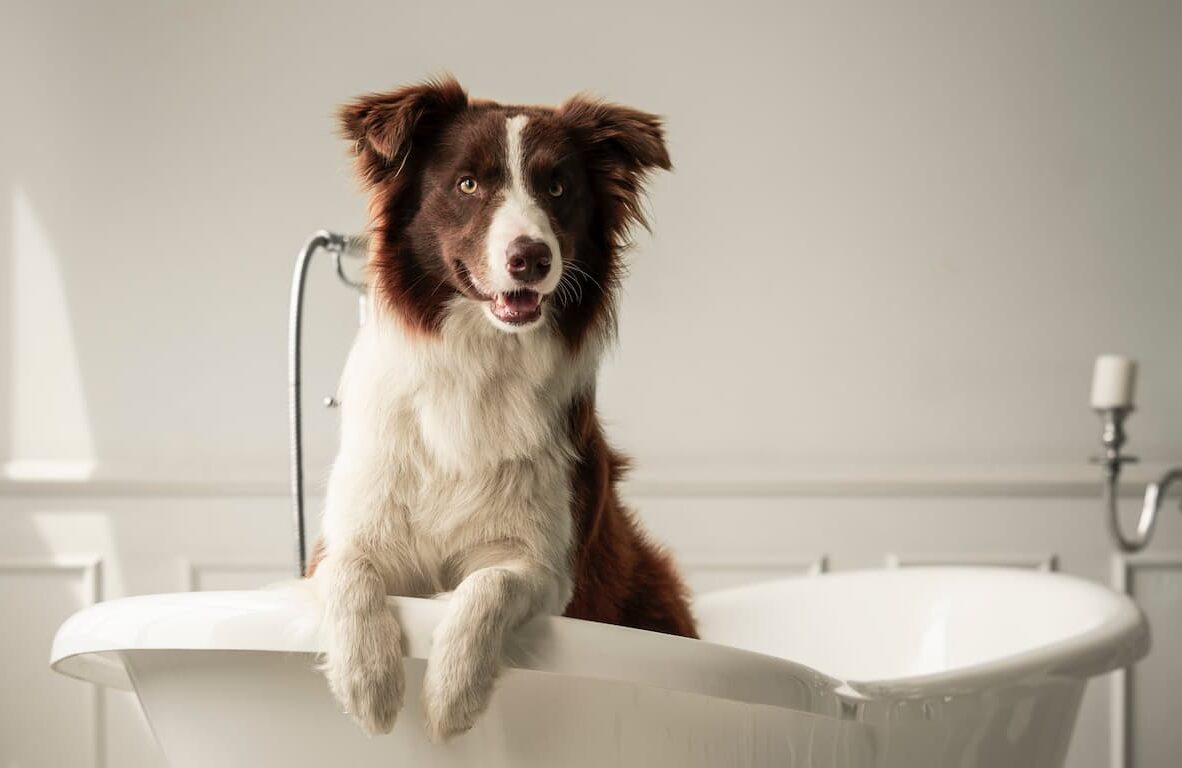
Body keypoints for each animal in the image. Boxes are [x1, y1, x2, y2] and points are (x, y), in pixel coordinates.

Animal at [304, 74, 695, 737]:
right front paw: (368, 682)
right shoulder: (345, 536)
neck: (479, 361)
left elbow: (489, 584)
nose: (531, 258)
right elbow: (347, 570)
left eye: (557, 187)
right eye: (467, 183)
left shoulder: (547, 564)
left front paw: (452, 693)